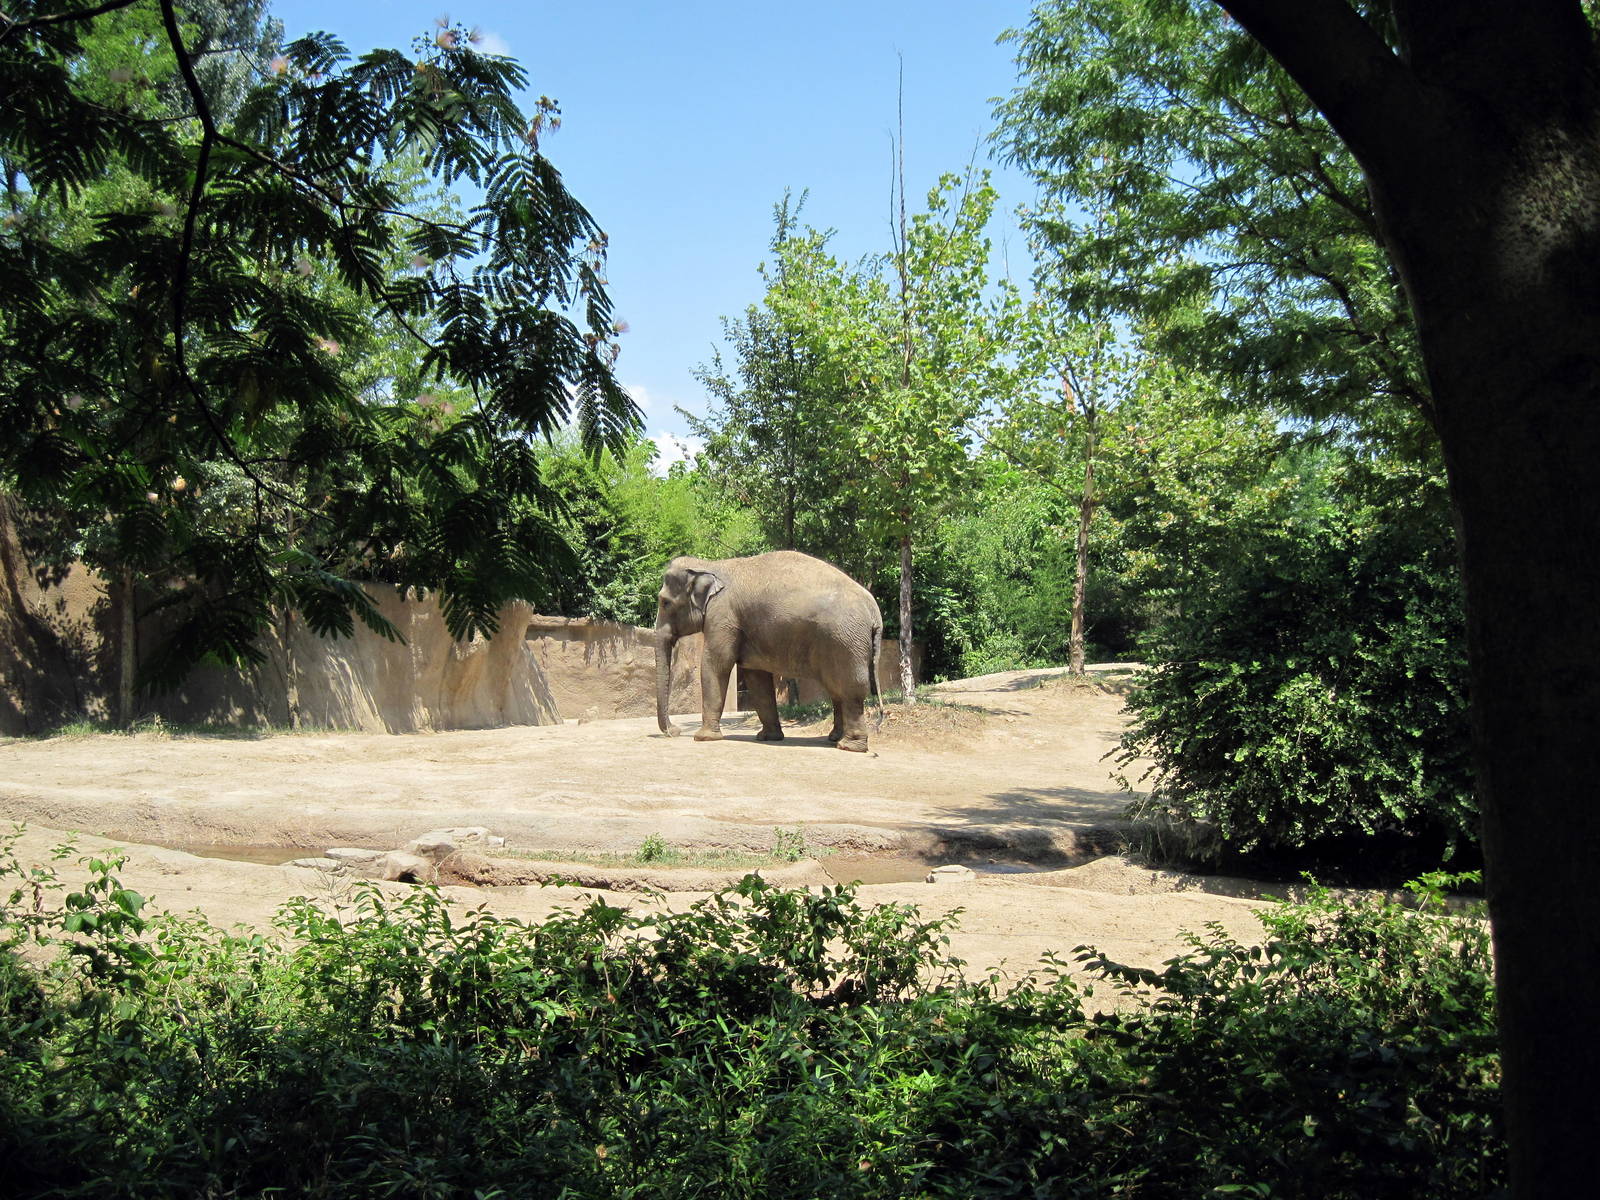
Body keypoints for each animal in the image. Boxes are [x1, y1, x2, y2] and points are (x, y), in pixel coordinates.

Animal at [654, 550, 884, 752]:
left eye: (665, 602)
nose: (673, 732)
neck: (711, 565)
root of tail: (874, 613)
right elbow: (756, 677)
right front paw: (768, 737)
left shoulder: (722, 616)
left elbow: (716, 664)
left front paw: (703, 738)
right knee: (836, 688)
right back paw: (834, 738)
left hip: (845, 642)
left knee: (849, 688)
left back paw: (849, 746)